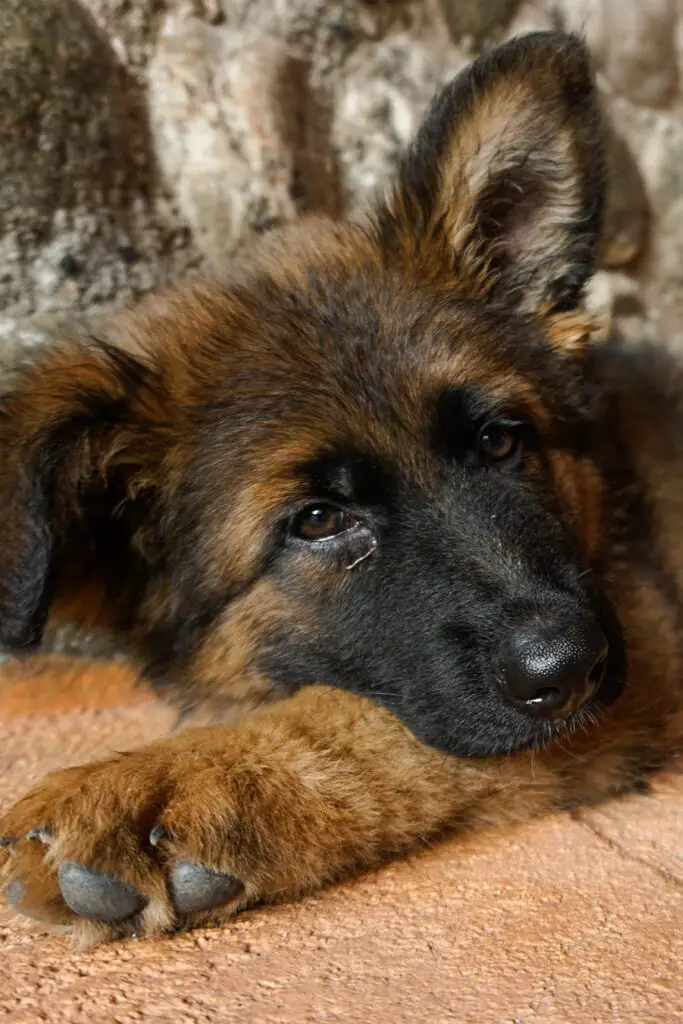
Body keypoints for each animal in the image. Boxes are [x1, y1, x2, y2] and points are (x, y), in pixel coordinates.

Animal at [1, 29, 683, 942]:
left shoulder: (643, 645)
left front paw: (189, 778)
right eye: (318, 520)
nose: (571, 666)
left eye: (500, 441)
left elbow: (366, 715)